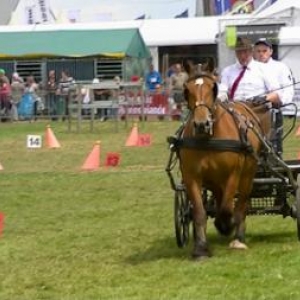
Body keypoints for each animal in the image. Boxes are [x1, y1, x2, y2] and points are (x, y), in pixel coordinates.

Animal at [178, 62, 270, 258]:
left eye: (213, 87)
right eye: (186, 90)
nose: (201, 124)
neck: (209, 139)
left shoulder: (233, 174)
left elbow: (228, 208)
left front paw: (226, 226)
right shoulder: (191, 177)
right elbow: (199, 212)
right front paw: (200, 248)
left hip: (247, 175)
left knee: (242, 204)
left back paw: (238, 238)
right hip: (215, 181)